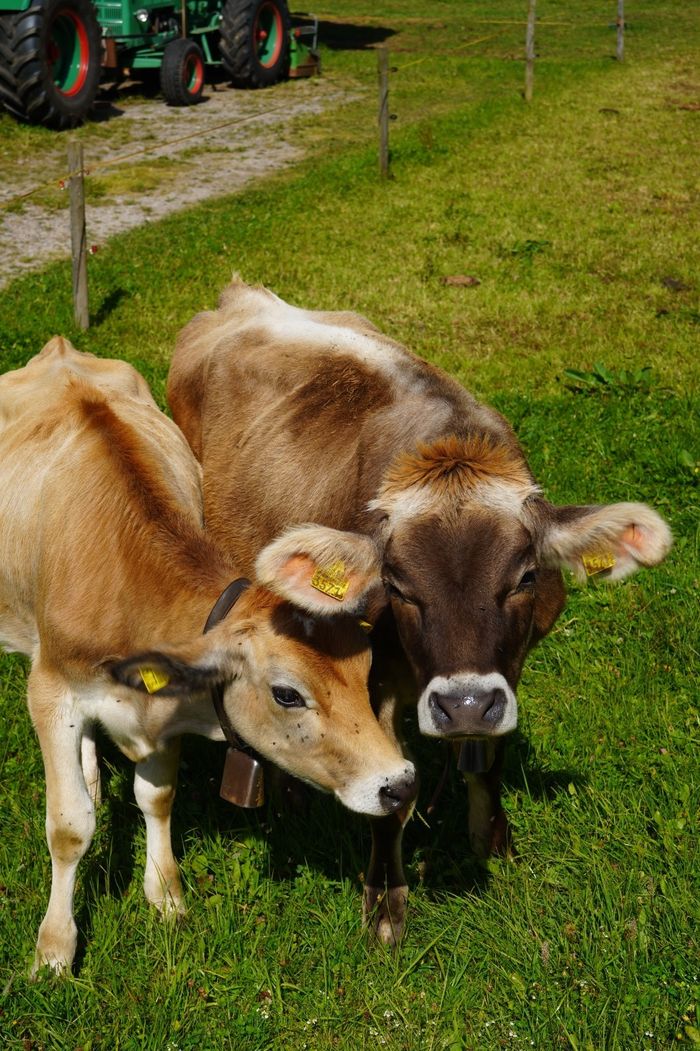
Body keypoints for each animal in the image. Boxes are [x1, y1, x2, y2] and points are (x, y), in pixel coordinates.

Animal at [0, 337, 417, 975]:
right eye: (287, 693)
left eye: (365, 672)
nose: (399, 784)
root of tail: (61, 348)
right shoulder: (50, 690)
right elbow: (70, 826)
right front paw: (53, 950)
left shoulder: (164, 706)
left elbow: (157, 796)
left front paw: (166, 894)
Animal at [167, 278, 672, 944]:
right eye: (398, 586)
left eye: (525, 577)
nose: (464, 705)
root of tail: (239, 294)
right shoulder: (372, 681)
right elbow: (392, 791)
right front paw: (385, 900)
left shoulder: (511, 667)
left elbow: (489, 760)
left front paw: (494, 839)